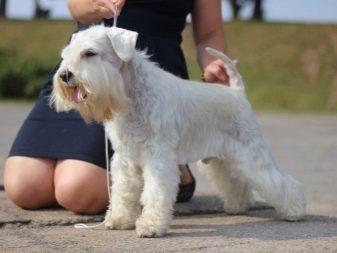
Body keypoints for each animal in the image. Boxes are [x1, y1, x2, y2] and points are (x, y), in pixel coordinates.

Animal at [51, 25, 306, 237]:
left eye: (90, 53)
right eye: (66, 54)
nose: (65, 75)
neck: (132, 94)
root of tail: (237, 93)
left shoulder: (158, 157)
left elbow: (155, 192)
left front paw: (151, 226)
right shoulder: (125, 158)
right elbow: (123, 190)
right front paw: (119, 219)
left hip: (250, 152)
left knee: (278, 181)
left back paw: (295, 210)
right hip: (222, 159)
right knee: (235, 181)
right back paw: (237, 205)